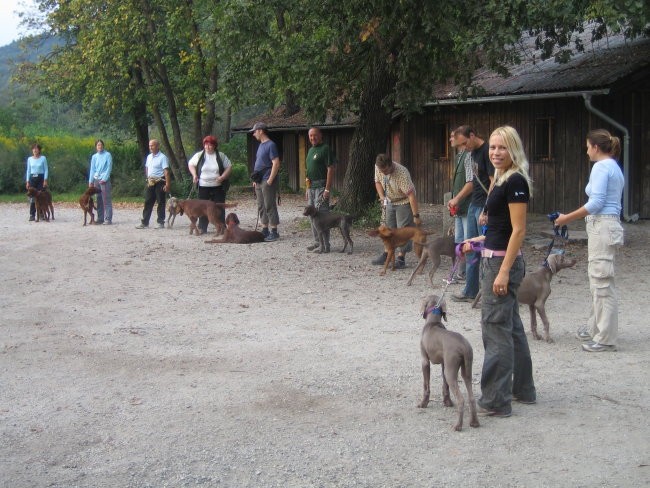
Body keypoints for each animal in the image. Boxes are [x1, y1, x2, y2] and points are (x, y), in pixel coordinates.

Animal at [418, 294, 478, 430]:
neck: (433, 322)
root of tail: (463, 345)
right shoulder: (444, 364)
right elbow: (445, 386)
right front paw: (448, 402)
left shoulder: (425, 361)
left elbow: (426, 386)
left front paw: (423, 403)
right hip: (464, 370)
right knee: (471, 397)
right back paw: (474, 423)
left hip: (451, 372)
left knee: (461, 399)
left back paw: (458, 426)